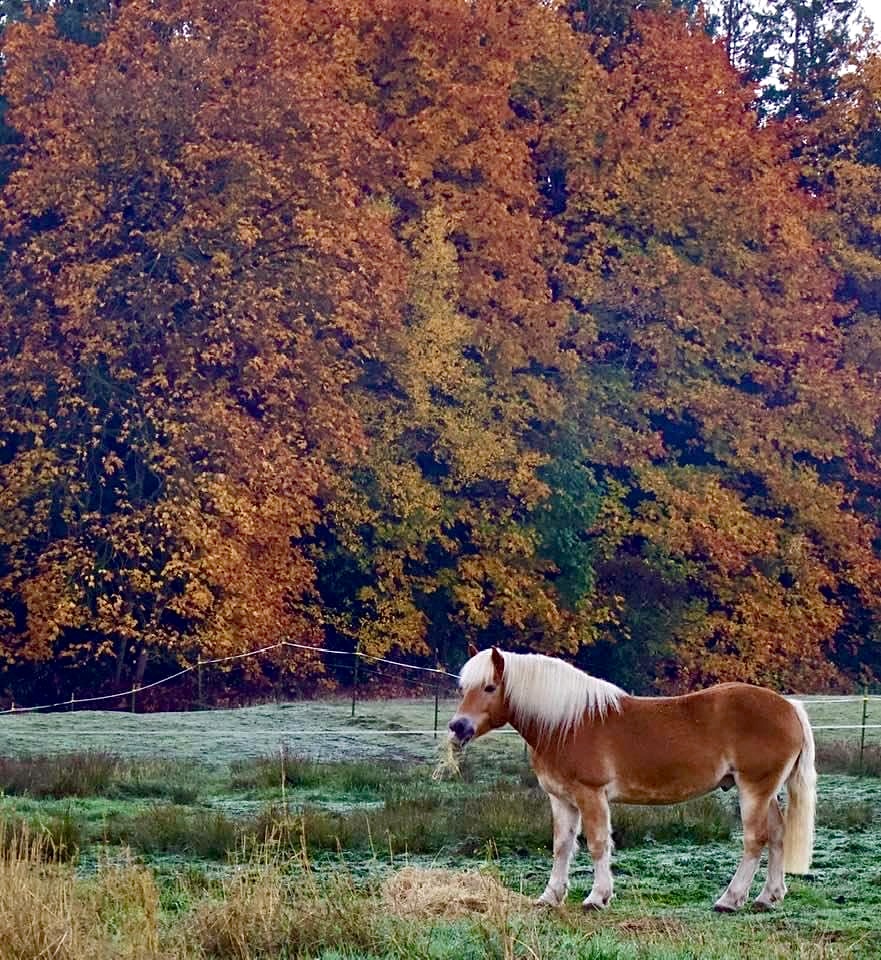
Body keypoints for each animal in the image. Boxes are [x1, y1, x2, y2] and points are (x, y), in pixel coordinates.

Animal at [447, 645, 816, 913]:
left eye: (490, 687)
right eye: (463, 688)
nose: (457, 727)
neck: (567, 723)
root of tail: (790, 707)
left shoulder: (591, 794)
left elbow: (597, 844)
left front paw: (597, 898)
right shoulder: (562, 799)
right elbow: (562, 846)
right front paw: (550, 896)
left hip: (754, 789)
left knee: (755, 840)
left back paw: (730, 900)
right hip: (765, 792)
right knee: (777, 835)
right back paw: (767, 897)